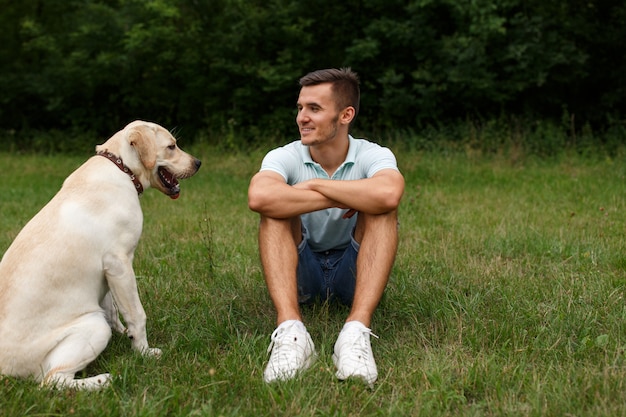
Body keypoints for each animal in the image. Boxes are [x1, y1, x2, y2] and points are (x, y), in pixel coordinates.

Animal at [0, 118, 200, 388]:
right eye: (171, 147)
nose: (198, 163)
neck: (122, 168)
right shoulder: (120, 264)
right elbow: (137, 314)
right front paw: (143, 352)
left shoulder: (108, 272)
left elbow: (114, 310)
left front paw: (125, 335)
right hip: (93, 325)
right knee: (53, 381)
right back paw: (103, 380)